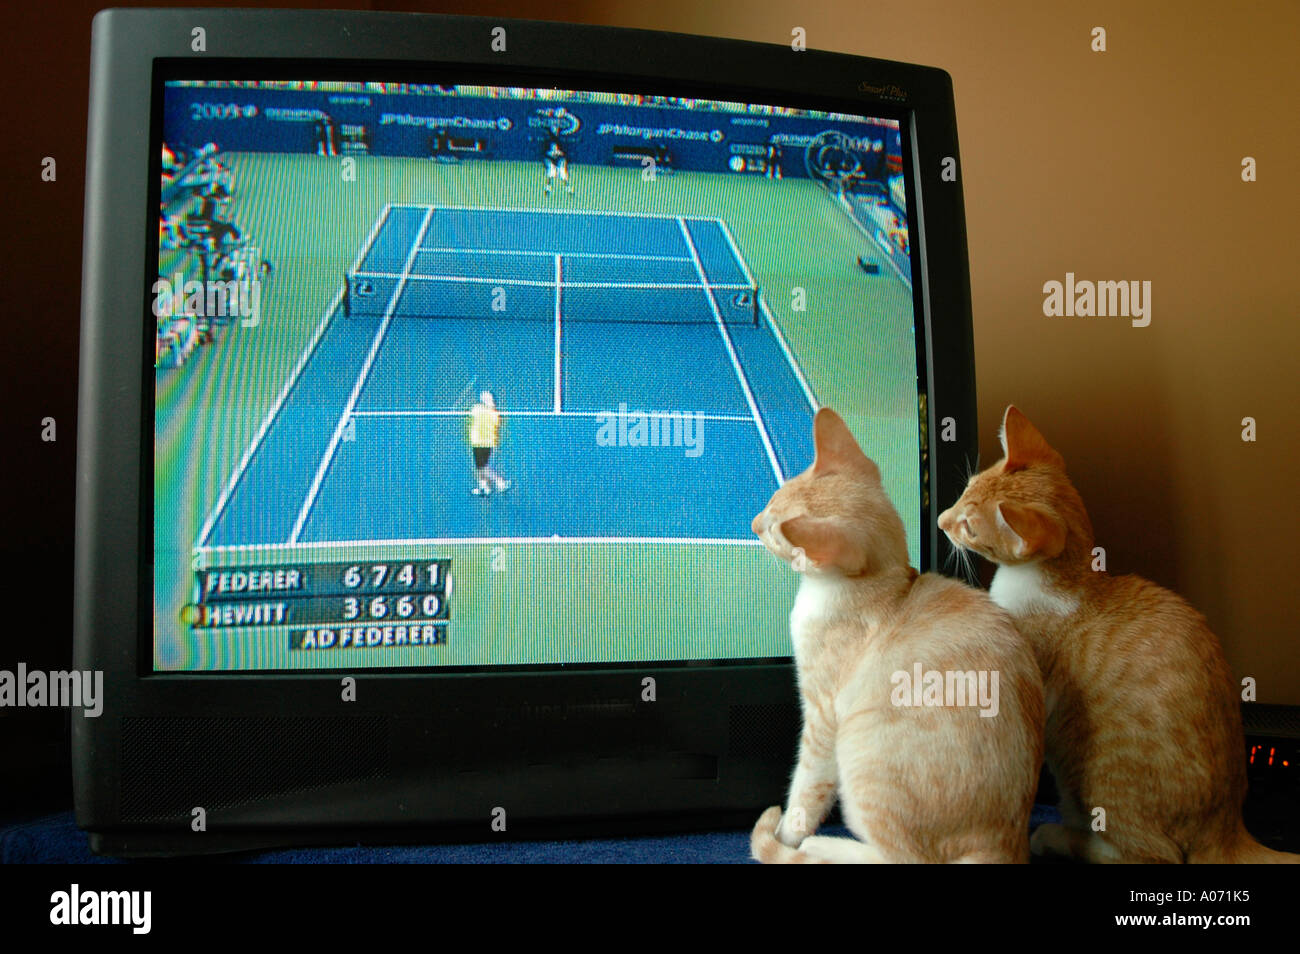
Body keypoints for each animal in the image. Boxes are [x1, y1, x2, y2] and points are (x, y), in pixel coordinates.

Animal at [748, 410, 1040, 868]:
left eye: (778, 533)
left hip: (859, 755)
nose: (753, 523)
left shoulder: (823, 714)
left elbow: (806, 788)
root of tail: (1003, 844)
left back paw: (825, 847)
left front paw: (786, 835)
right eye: (770, 501)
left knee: (903, 857)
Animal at [941, 405, 1294, 868]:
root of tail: (1228, 828)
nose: (942, 520)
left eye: (969, 527)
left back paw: (1057, 836)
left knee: (1152, 853)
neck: (1070, 582)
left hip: (1100, 777)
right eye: (964, 489)